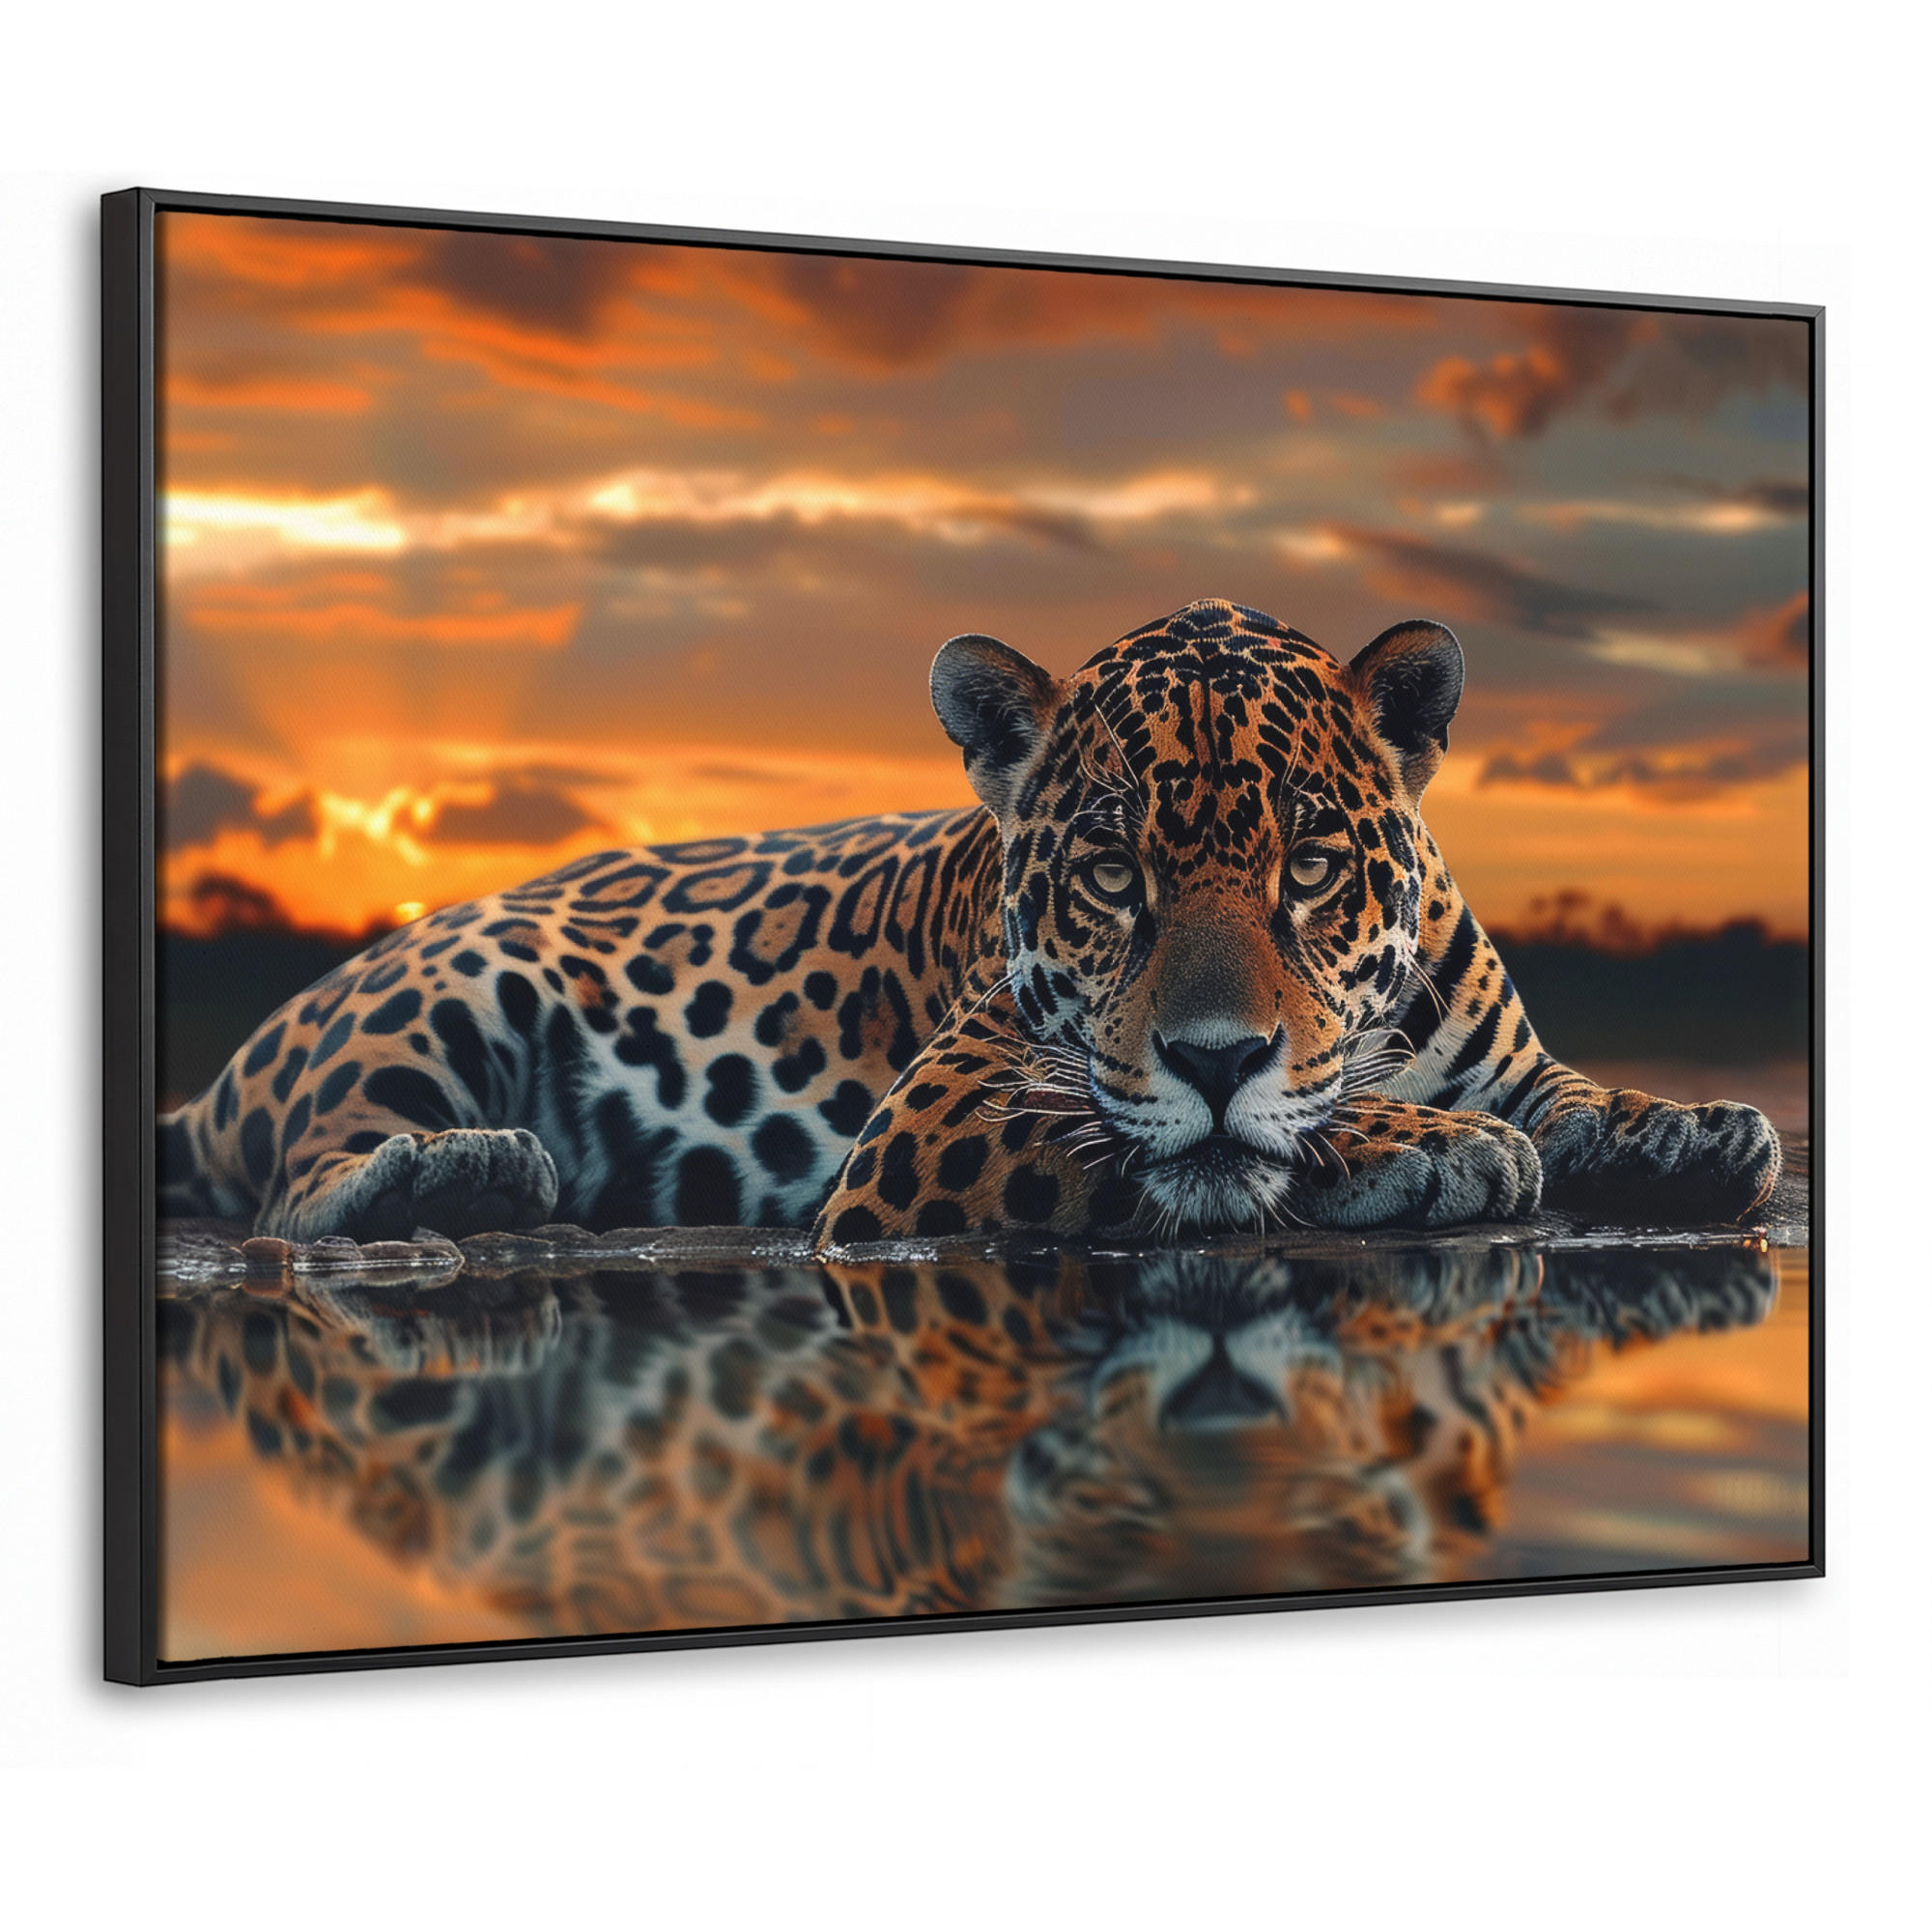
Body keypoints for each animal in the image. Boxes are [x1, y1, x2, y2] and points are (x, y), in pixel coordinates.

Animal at [159, 599, 1782, 1248]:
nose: (1214, 1055)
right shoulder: (943, 1114)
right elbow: (1215, 1144)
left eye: (1312, 866)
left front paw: (1696, 1130)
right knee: (295, 1186)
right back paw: (463, 1172)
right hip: (442, 989)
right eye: (1112, 876)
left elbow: (1577, 1096)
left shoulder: (1514, 1057)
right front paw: (1430, 1146)